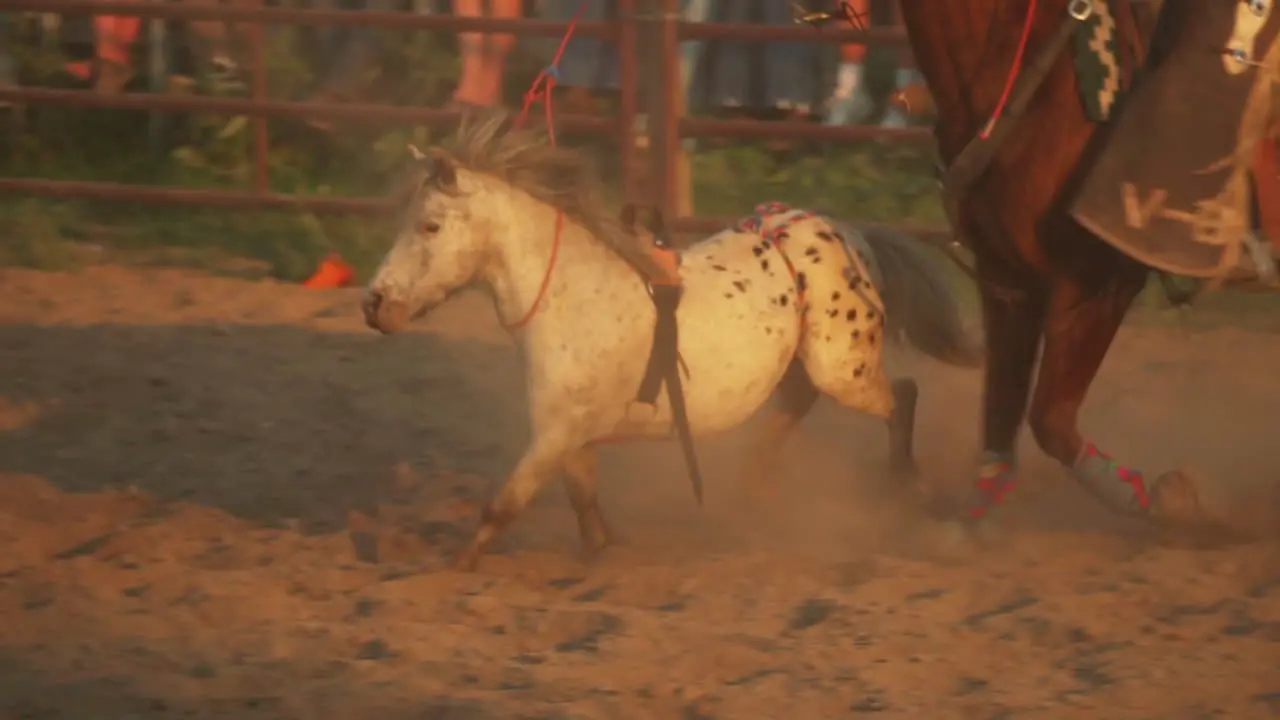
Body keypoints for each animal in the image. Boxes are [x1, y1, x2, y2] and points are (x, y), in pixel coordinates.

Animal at [363, 110, 977, 566]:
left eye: (430, 225)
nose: (374, 305)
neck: (570, 295)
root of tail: (847, 232)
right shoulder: (572, 436)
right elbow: (585, 505)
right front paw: (607, 551)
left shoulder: (553, 435)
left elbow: (504, 505)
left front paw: (455, 567)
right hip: (801, 365)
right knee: (799, 406)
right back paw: (748, 496)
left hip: (841, 365)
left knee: (901, 396)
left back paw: (911, 488)